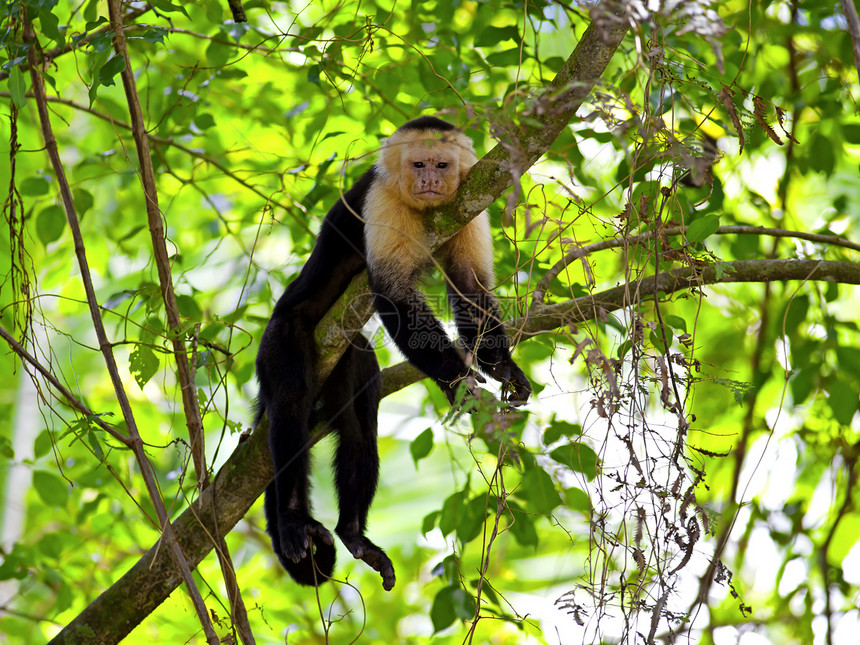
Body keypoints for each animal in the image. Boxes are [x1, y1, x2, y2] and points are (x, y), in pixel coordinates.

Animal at [255, 114, 528, 588]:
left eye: (441, 164)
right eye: (418, 163)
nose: (429, 180)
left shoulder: (469, 203)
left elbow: (470, 285)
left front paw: (503, 367)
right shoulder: (381, 198)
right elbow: (392, 292)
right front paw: (458, 379)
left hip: (349, 356)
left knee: (359, 417)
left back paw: (352, 534)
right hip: (279, 339)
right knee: (289, 403)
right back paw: (292, 521)